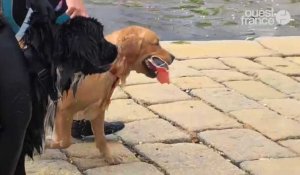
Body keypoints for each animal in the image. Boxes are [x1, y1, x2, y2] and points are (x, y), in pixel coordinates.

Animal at [45, 26, 175, 164]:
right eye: (156, 43)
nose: (173, 57)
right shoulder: (63, 110)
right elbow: (64, 142)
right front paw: (46, 145)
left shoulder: (97, 110)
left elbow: (101, 138)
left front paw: (109, 157)